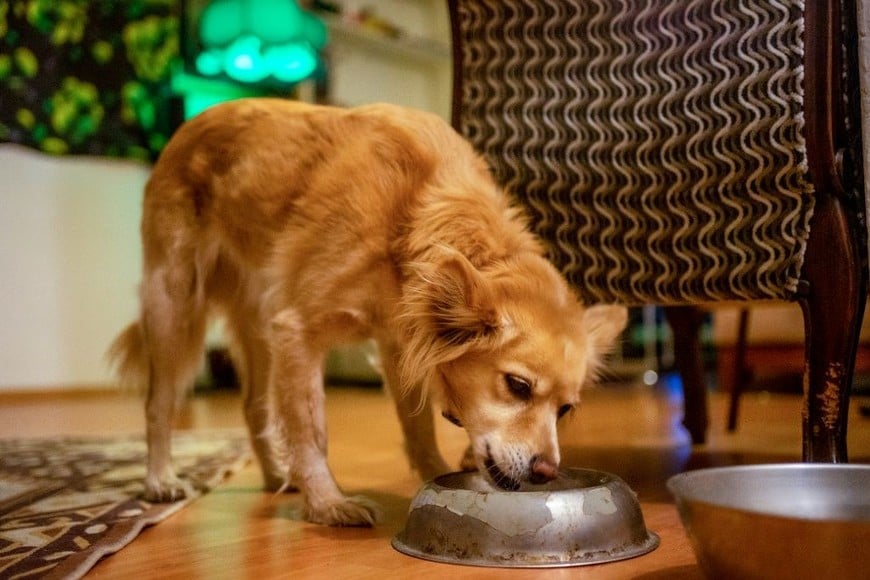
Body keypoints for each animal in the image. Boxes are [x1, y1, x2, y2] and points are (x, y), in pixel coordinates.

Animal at [109, 98, 632, 524]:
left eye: (566, 409)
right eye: (518, 386)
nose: (546, 472)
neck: (410, 214)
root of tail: (193, 122)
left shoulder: (400, 344)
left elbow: (417, 427)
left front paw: (435, 476)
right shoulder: (298, 331)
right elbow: (312, 431)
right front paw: (328, 505)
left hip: (258, 328)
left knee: (254, 406)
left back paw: (278, 474)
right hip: (175, 306)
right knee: (158, 404)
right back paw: (160, 479)